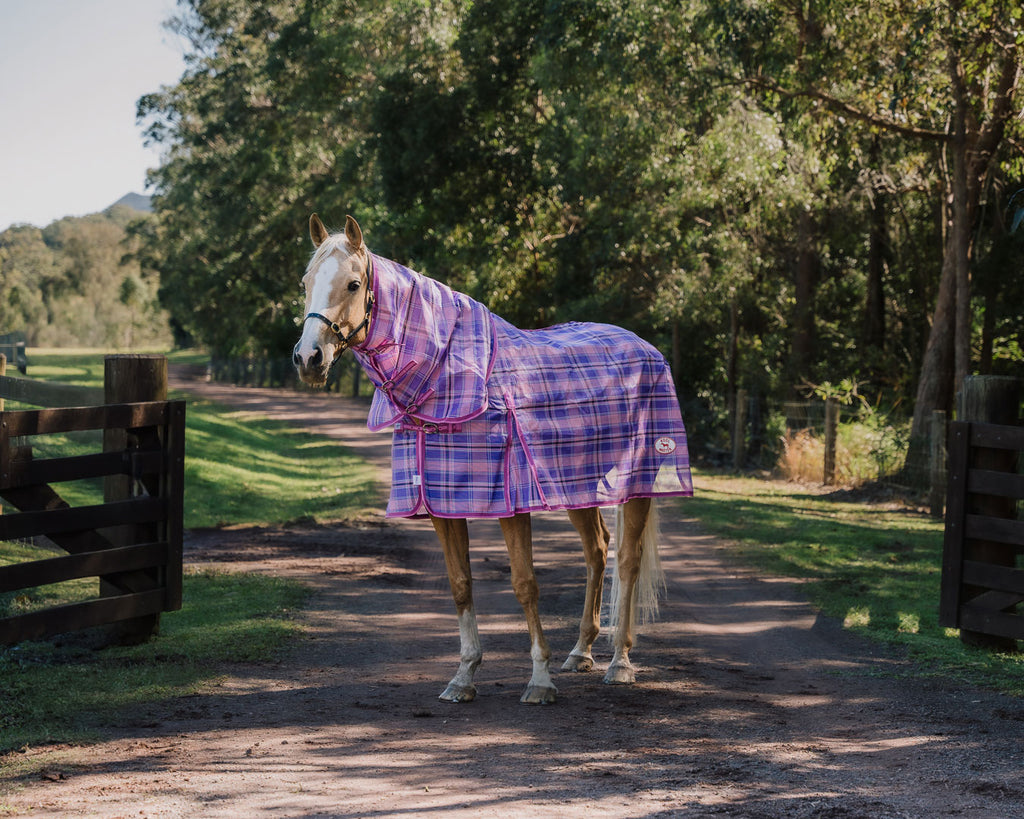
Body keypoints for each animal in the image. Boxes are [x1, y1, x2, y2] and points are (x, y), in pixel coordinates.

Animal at [293, 214, 693, 704]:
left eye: (352, 284)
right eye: (306, 282)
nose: (308, 358)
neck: (452, 378)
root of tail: (645, 347)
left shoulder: (510, 503)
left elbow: (525, 584)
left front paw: (539, 681)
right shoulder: (442, 505)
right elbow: (460, 585)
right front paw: (463, 677)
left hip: (638, 482)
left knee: (628, 562)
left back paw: (619, 662)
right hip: (576, 484)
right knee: (597, 550)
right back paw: (580, 652)